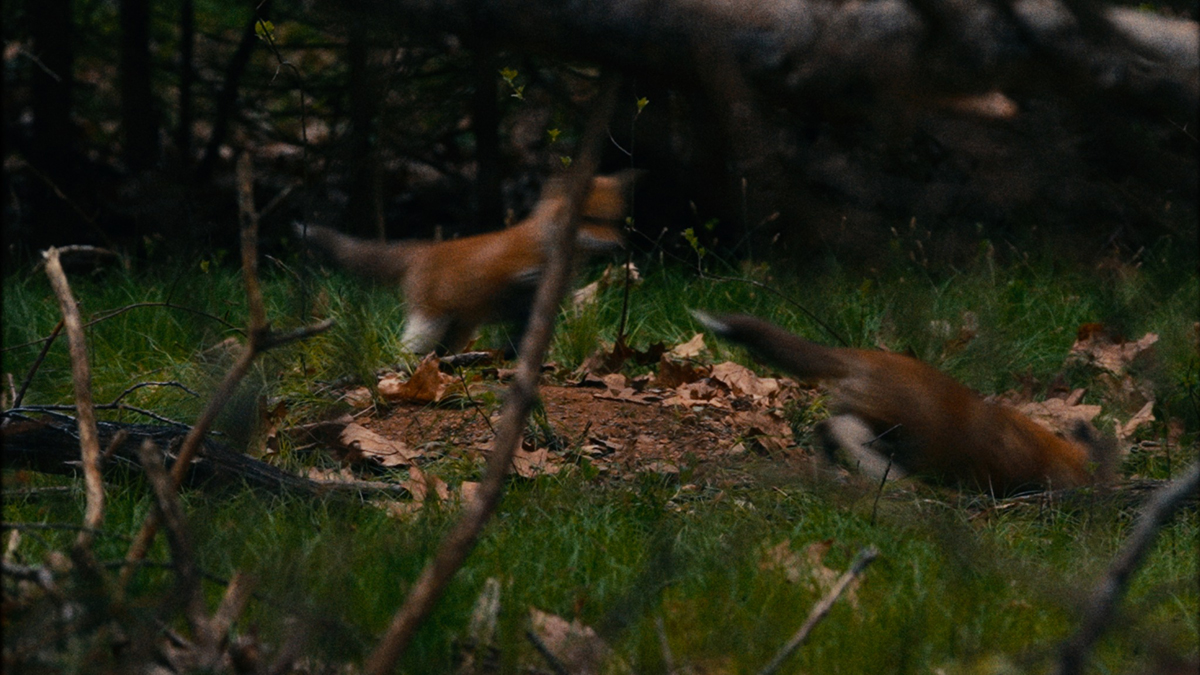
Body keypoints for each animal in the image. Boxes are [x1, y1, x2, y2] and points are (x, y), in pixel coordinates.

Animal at [297, 170, 638, 355]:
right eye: (589, 219)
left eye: (614, 221)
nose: (618, 245)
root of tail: (422, 250)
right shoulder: (514, 282)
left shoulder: (537, 306)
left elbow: (523, 342)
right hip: (429, 323)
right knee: (403, 350)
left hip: (458, 329)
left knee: (438, 353)